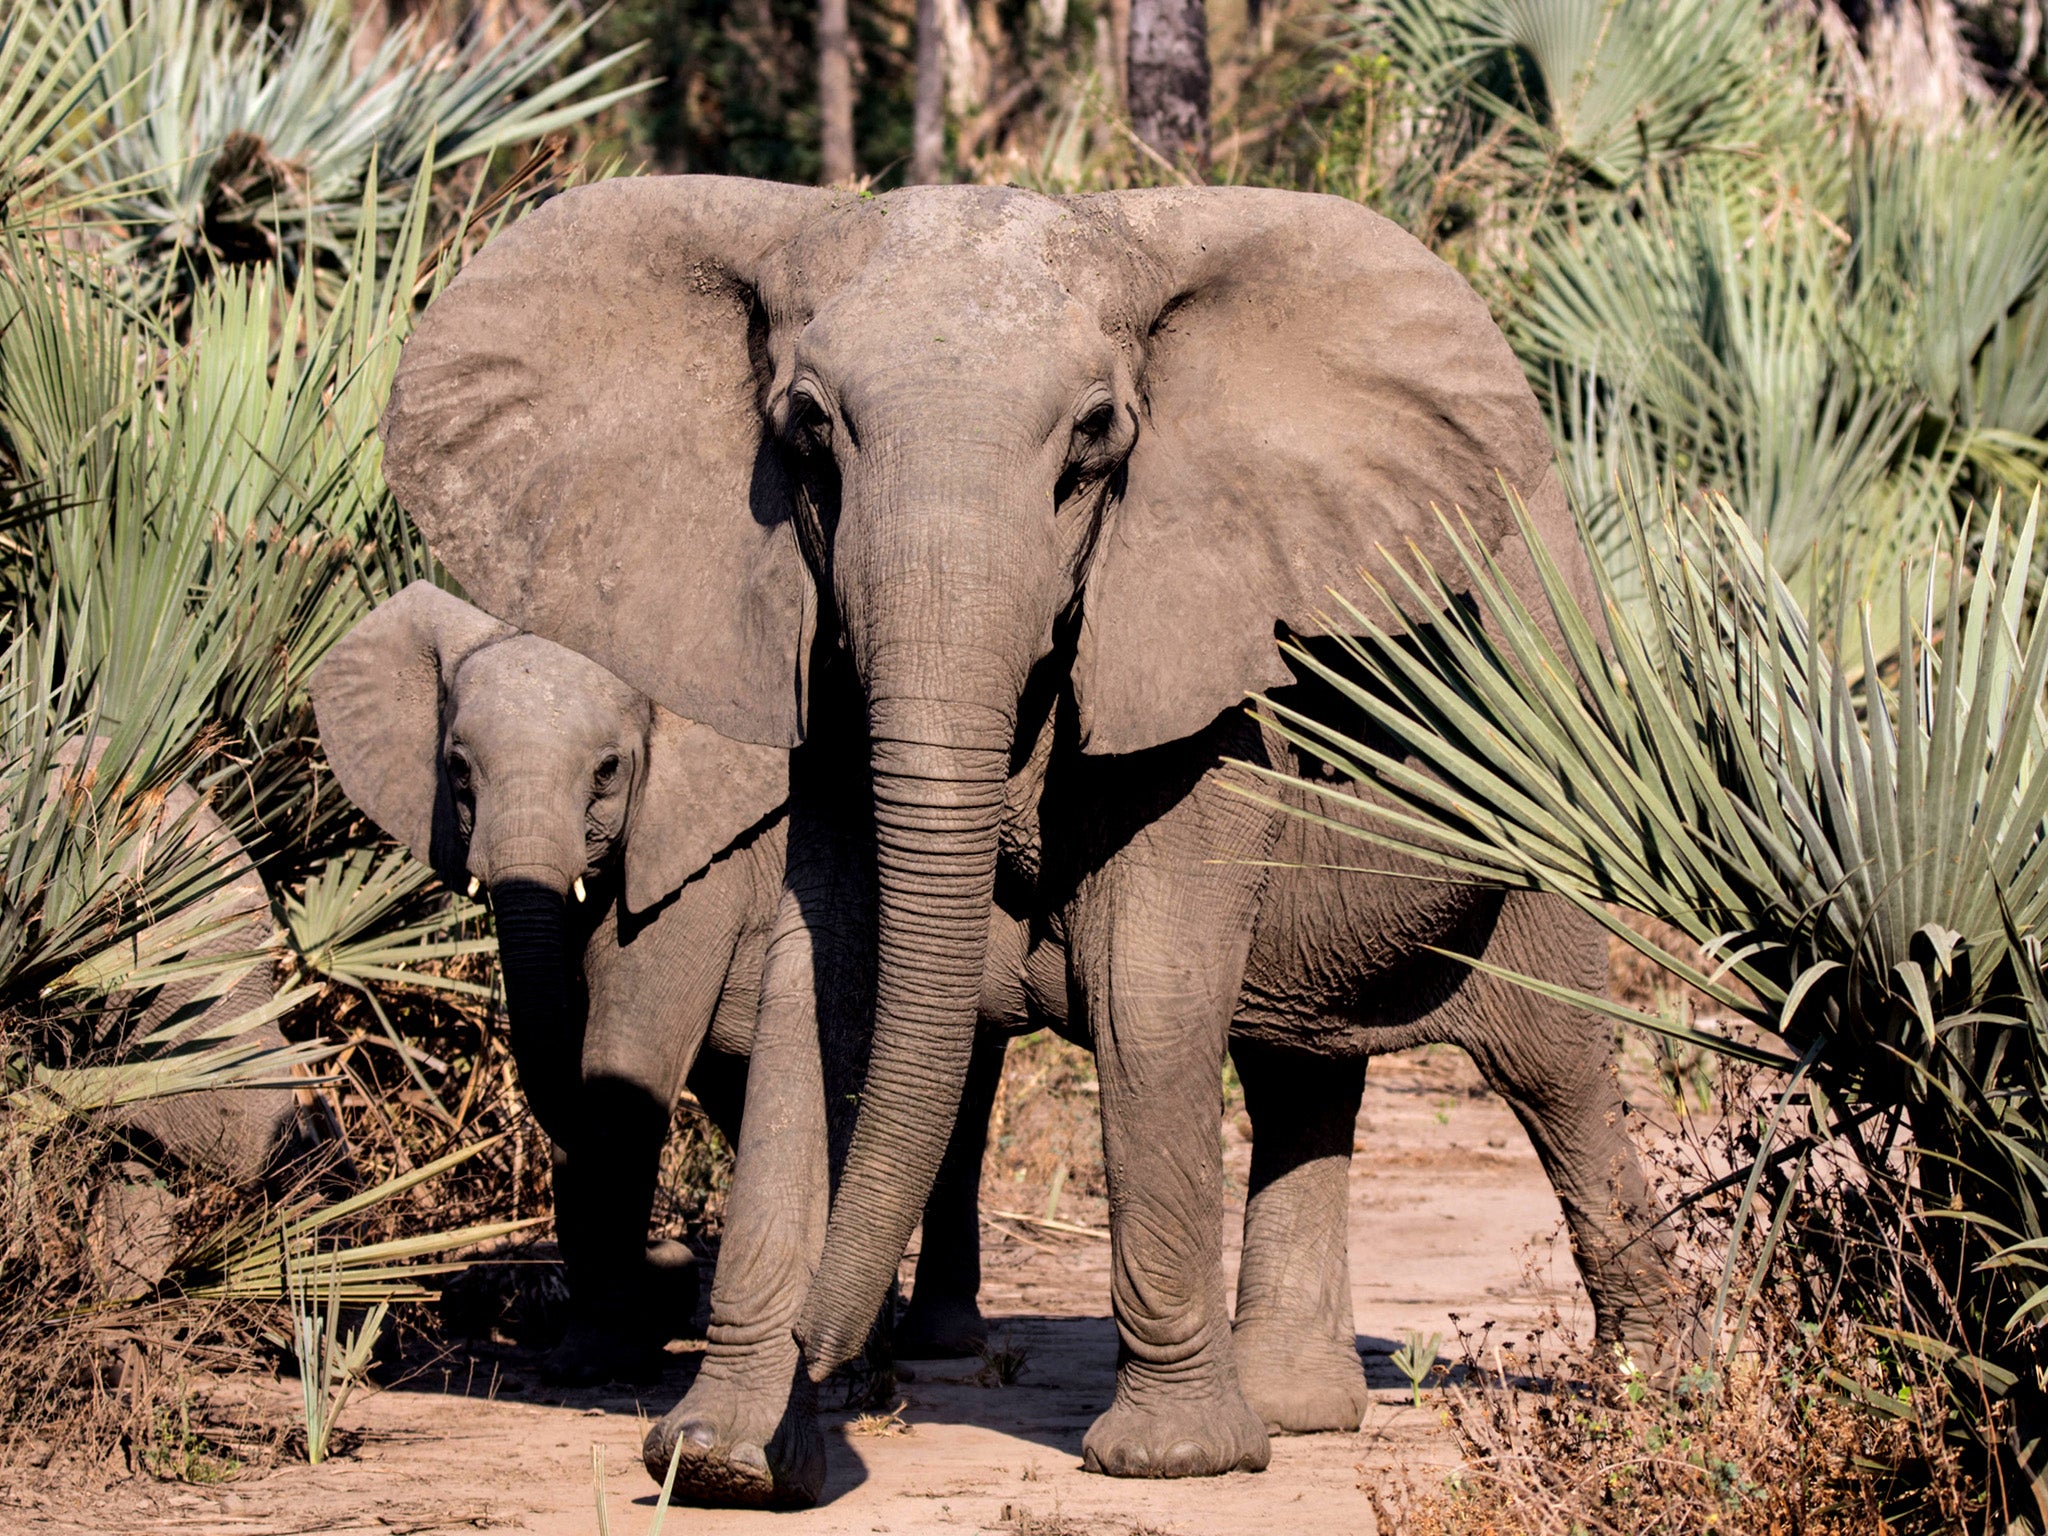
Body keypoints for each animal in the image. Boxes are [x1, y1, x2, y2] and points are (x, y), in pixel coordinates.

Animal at [309, 581, 1007, 1384]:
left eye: (608, 770)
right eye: (456, 769)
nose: (670, 1260)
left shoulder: (707, 867)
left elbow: (620, 1067)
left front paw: (591, 1361)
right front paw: (611, 1338)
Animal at [380, 177, 1662, 1490]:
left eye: (1094, 439)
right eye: (806, 433)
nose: (839, 1360)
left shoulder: (1191, 651)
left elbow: (1147, 984)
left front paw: (1170, 1462)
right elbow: (822, 983)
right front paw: (724, 1460)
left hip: (1551, 794)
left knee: (1557, 1076)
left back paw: (1646, 1399)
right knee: (1297, 1067)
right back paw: (1299, 1413)